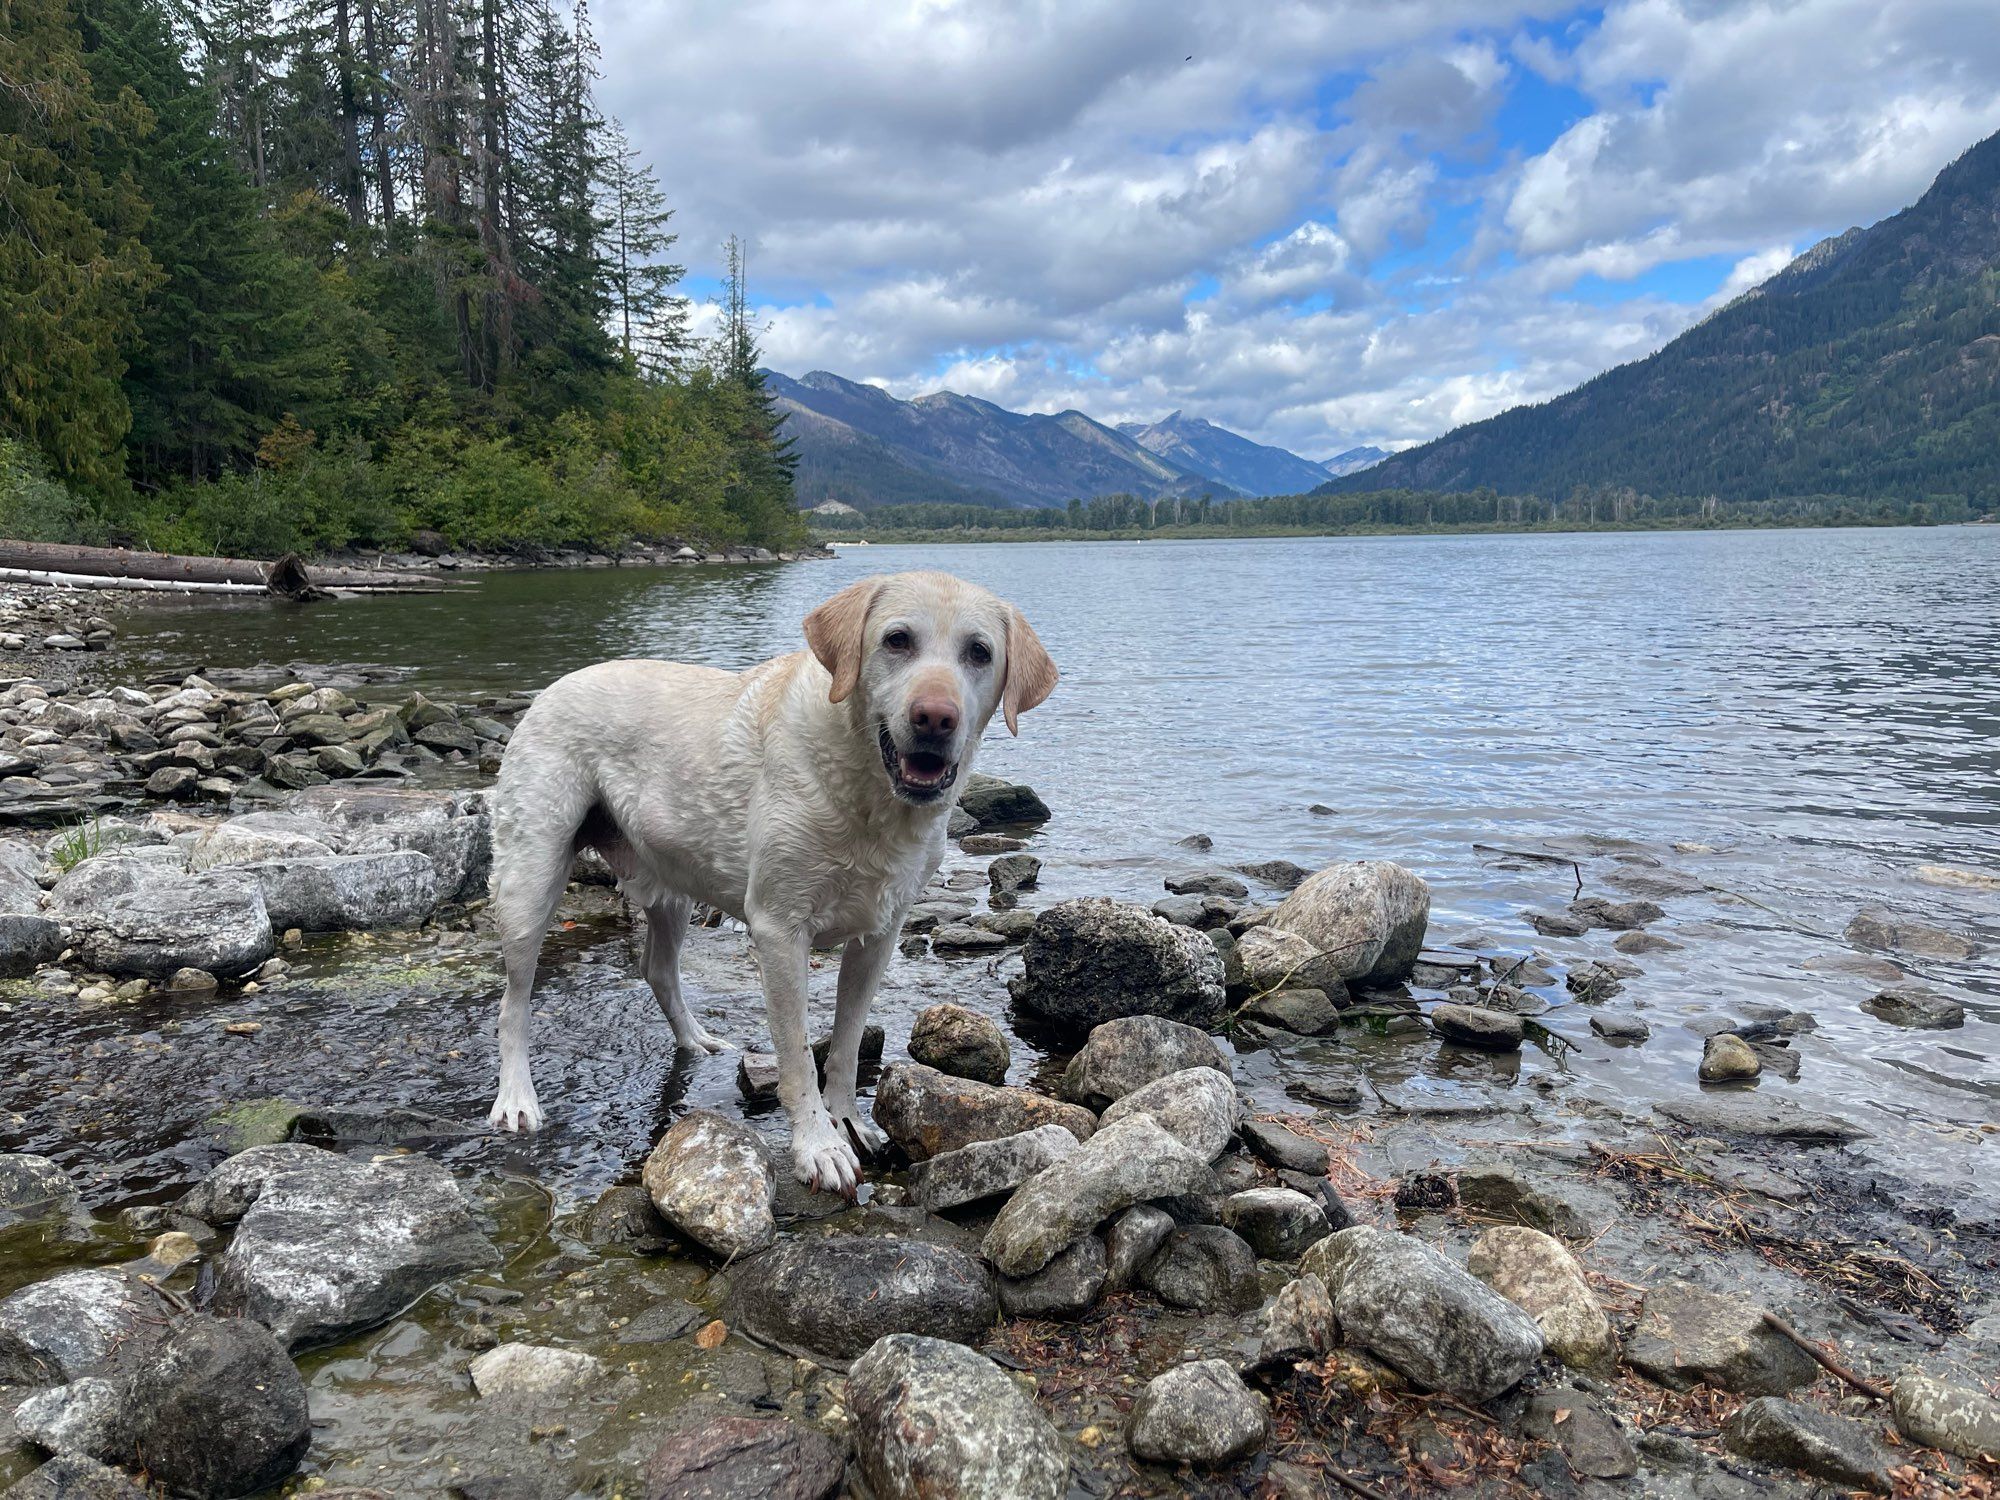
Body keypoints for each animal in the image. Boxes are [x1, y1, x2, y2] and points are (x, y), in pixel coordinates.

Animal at [490, 576, 1064, 1200]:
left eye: (979, 652)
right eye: (897, 639)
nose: (935, 717)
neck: (867, 789)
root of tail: (553, 687)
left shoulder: (879, 935)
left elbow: (845, 1044)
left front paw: (849, 1121)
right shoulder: (779, 930)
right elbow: (797, 1056)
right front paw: (819, 1147)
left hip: (672, 883)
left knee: (658, 969)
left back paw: (696, 1040)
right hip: (531, 875)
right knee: (514, 999)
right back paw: (516, 1099)